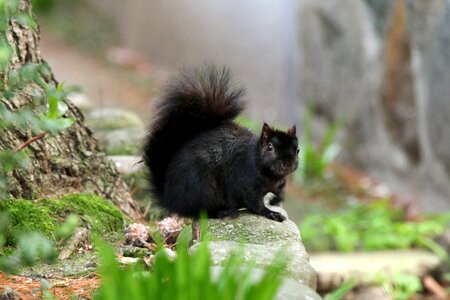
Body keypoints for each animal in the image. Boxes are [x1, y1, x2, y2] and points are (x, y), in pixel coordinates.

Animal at [143, 65, 298, 221]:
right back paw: (225, 212)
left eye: (297, 150)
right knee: (201, 212)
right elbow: (254, 203)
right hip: (203, 189)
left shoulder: (279, 183)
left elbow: (280, 191)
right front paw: (271, 213)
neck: (270, 175)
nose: (288, 163)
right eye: (270, 147)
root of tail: (170, 199)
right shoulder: (244, 179)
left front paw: (276, 199)